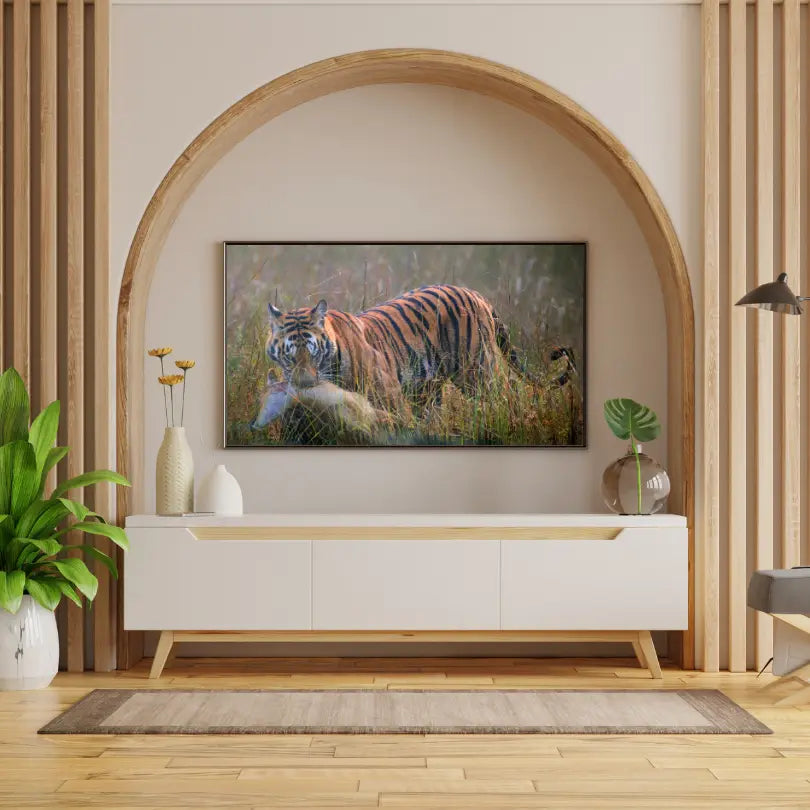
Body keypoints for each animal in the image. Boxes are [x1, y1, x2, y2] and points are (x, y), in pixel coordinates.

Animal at [262, 284, 573, 418]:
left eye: (313, 351)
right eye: (289, 354)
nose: (304, 383)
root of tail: (475, 293)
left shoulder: (388, 394)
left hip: (477, 370)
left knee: (507, 396)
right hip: (429, 387)